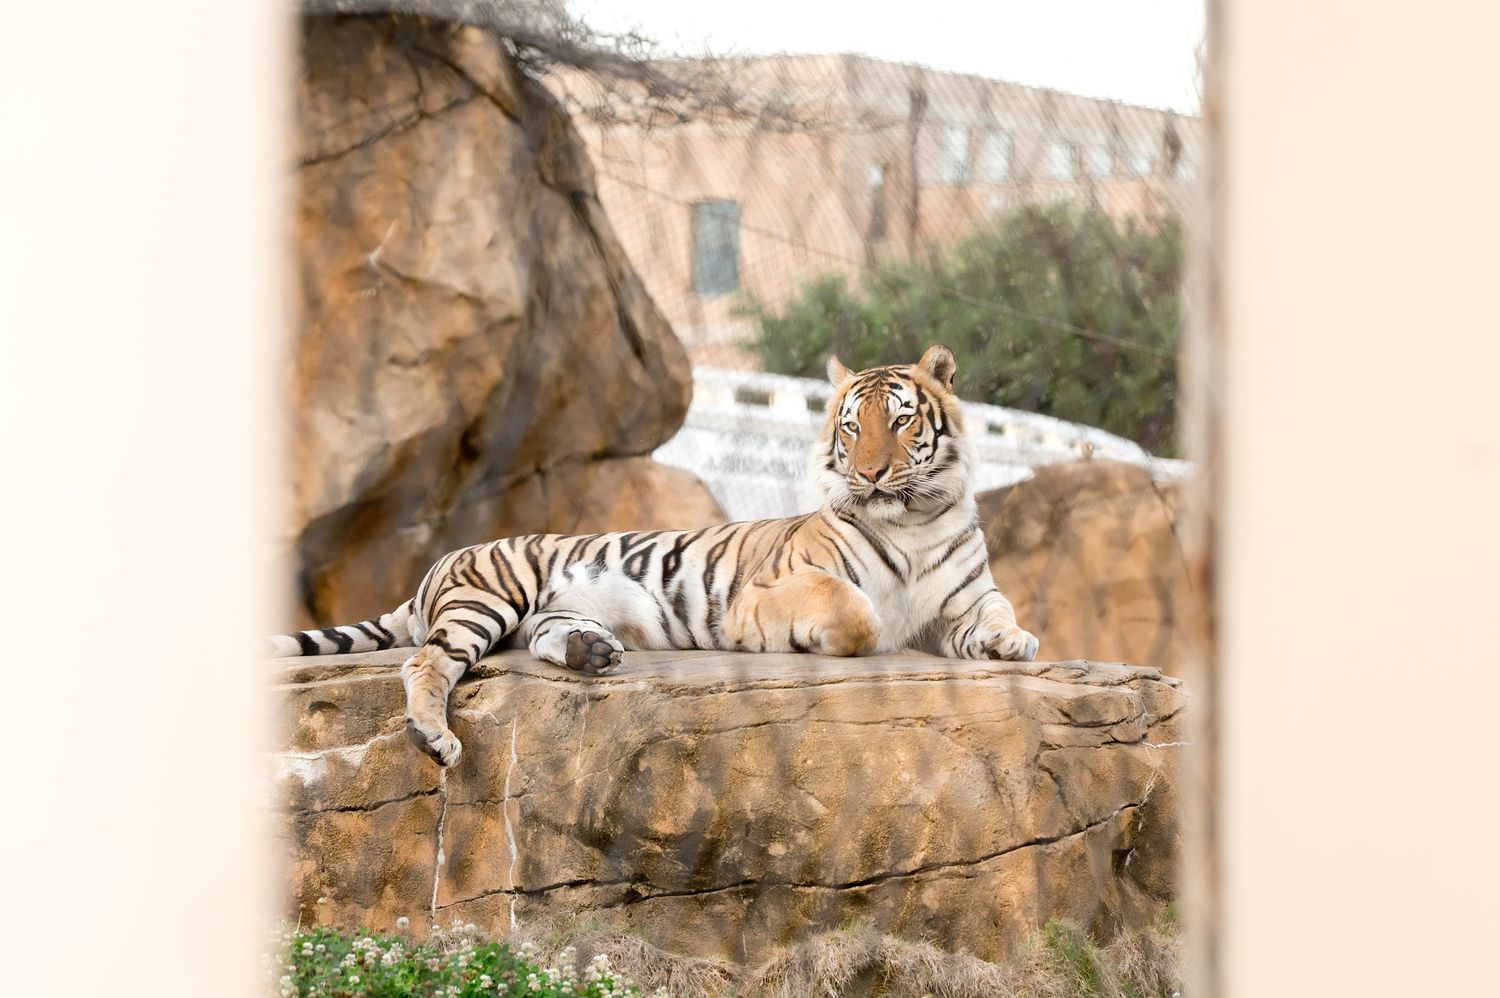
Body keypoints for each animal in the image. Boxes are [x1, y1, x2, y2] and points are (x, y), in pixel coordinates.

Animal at [271, 346, 1039, 766]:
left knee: (538, 638)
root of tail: (436, 567)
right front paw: (824, 636)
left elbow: (999, 616)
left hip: (535, 611)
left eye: (903, 420)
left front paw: (1013, 644)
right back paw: (433, 737)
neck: (914, 520)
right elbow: (856, 612)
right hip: (490, 594)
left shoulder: (965, 599)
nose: (872, 473)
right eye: (852, 427)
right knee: (426, 660)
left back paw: (591, 651)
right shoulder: (776, 587)